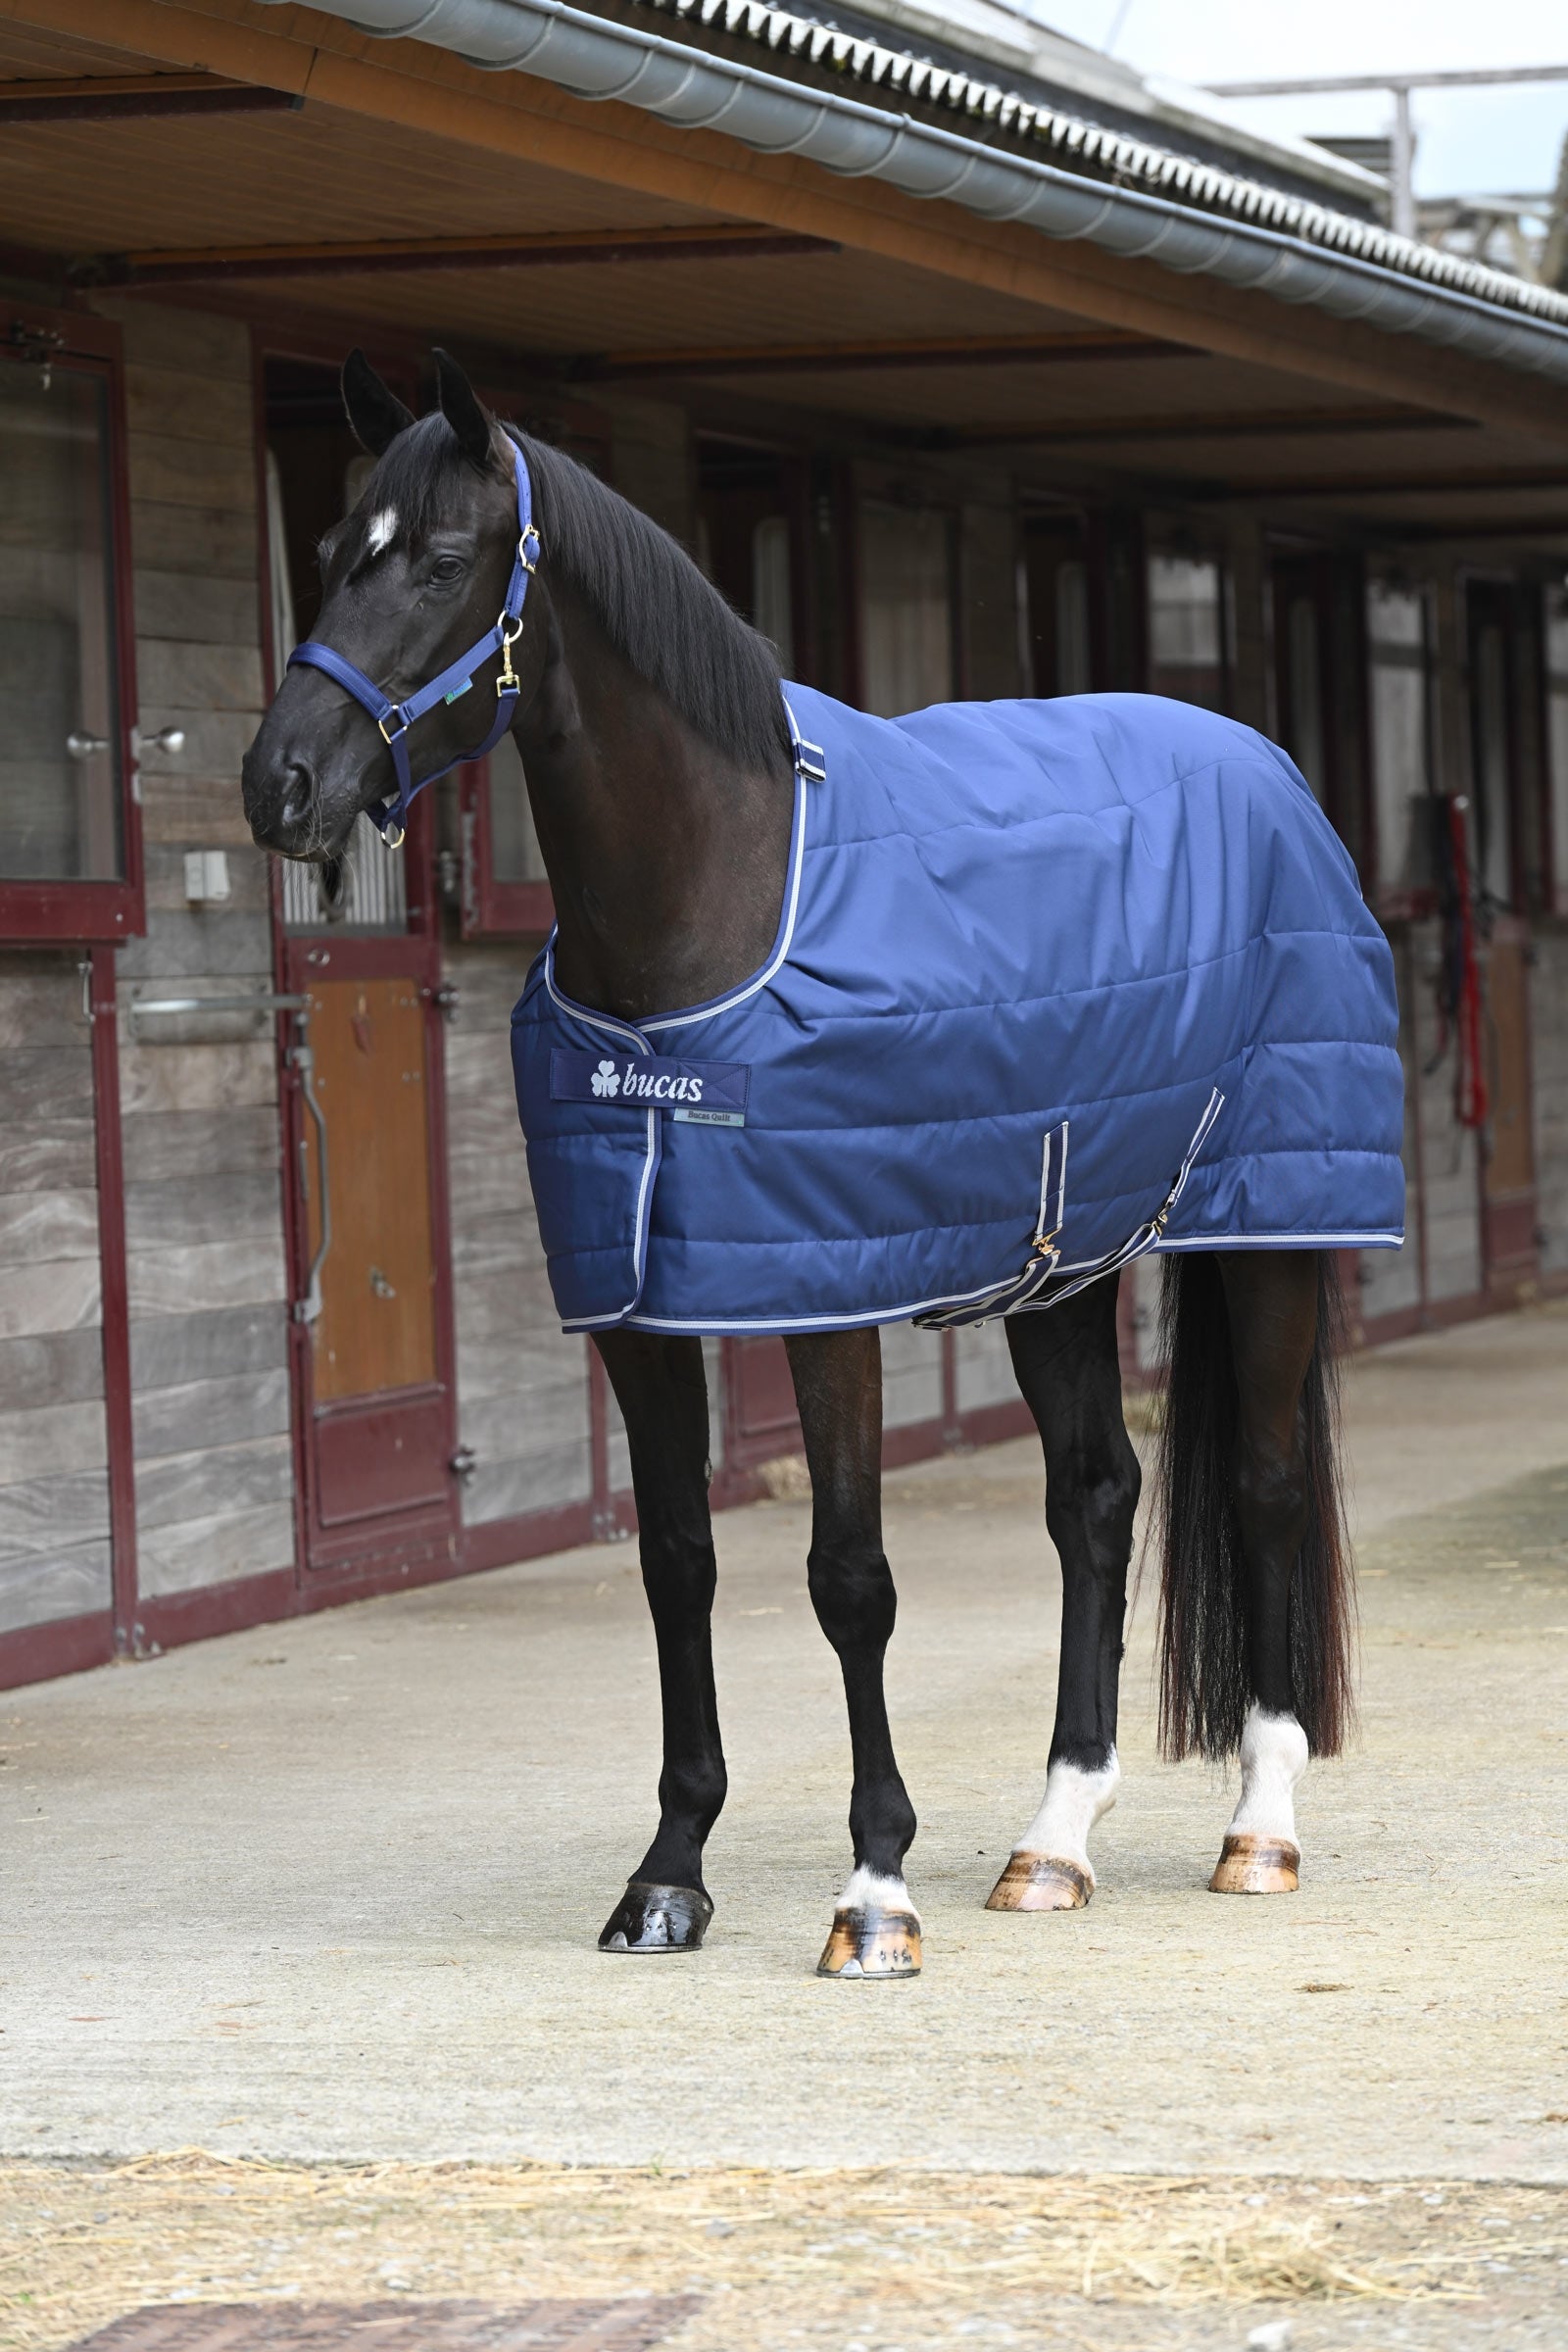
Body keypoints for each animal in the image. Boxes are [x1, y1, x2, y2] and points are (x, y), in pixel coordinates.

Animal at [242, 348, 1402, 1979]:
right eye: (337, 549)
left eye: (446, 561)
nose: (279, 785)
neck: (713, 902)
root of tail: (1274, 775)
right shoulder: (645, 1308)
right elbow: (678, 1564)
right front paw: (668, 1876)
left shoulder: (825, 1300)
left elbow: (850, 1581)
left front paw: (874, 1892)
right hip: (1058, 1262)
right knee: (1096, 1501)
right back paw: (1054, 1839)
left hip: (1271, 1230)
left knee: (1269, 1482)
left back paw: (1259, 1829)